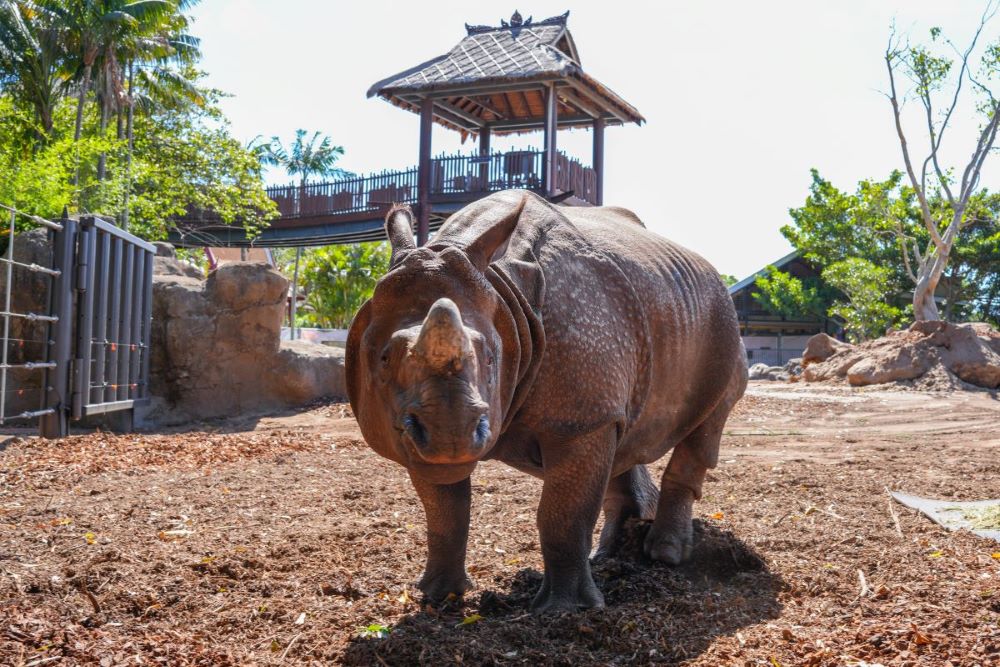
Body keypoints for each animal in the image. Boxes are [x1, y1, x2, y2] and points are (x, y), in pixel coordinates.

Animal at [346, 190, 747, 613]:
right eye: (385, 358)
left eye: (490, 358)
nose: (450, 436)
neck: (498, 287)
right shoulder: (409, 434)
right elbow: (444, 511)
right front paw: (438, 596)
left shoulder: (581, 419)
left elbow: (562, 515)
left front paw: (564, 610)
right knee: (622, 438)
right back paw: (607, 556)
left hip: (723, 323)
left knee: (705, 424)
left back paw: (665, 556)